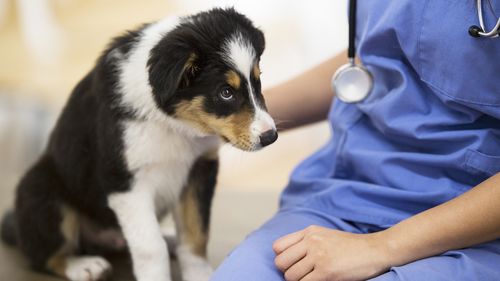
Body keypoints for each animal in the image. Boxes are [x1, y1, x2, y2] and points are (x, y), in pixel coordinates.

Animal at [0, 8, 278, 280]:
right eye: (225, 92)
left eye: (258, 80)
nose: (271, 137)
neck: (174, 124)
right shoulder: (125, 181)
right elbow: (150, 247)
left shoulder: (199, 169)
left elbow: (195, 234)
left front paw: (199, 274)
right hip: (40, 190)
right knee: (43, 256)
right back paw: (83, 266)